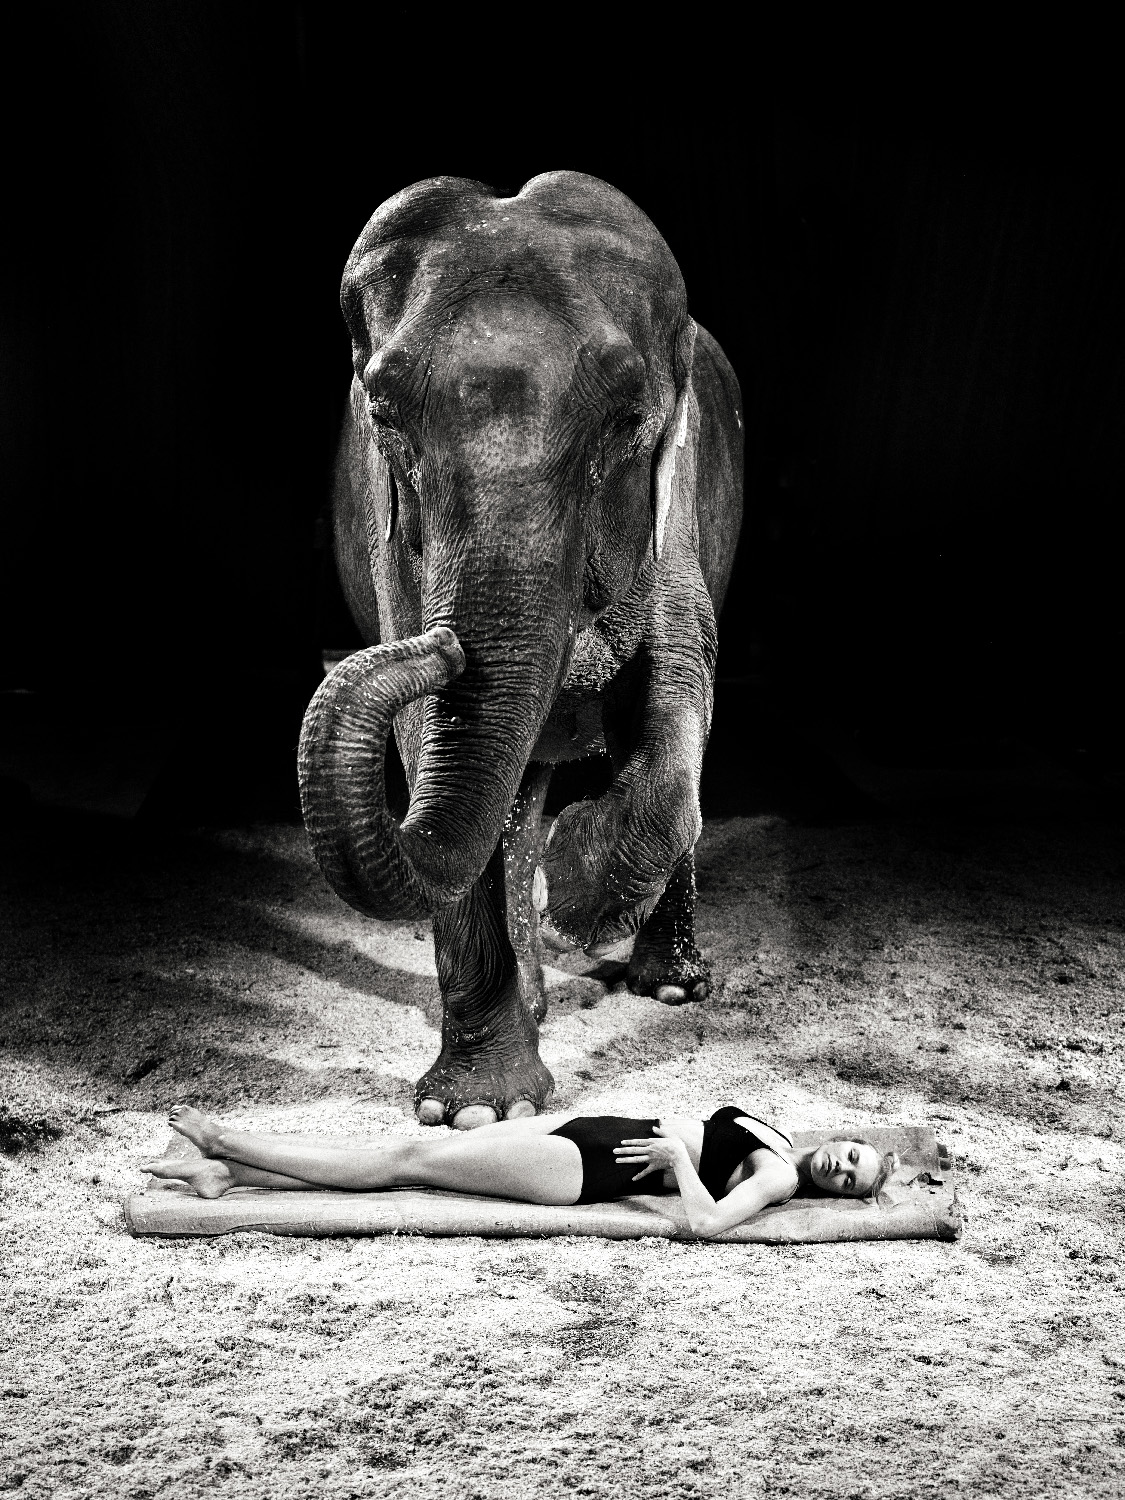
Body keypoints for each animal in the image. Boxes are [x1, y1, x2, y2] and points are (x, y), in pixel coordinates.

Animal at [298, 171, 743, 1129]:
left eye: (627, 420)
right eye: (384, 415)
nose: (441, 646)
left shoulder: (681, 494)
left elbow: (681, 682)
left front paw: (578, 892)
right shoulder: (391, 540)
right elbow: (431, 745)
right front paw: (473, 1114)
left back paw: (671, 987)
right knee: (510, 791)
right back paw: (538, 999)